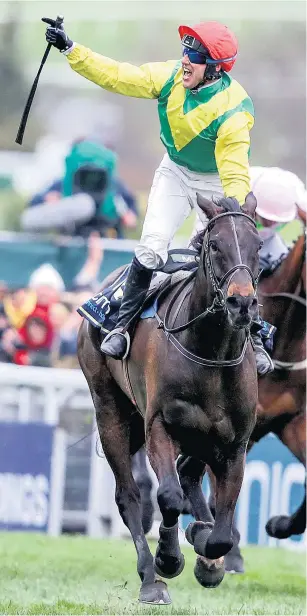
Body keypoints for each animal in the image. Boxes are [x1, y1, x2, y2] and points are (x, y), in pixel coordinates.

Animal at [77, 195, 262, 604]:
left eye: (257, 246)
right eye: (215, 245)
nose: (241, 304)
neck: (211, 353)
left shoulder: (234, 445)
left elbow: (222, 532)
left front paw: (208, 555)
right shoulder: (159, 426)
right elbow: (169, 497)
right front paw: (169, 556)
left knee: (188, 475)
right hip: (110, 411)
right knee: (129, 496)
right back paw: (150, 578)